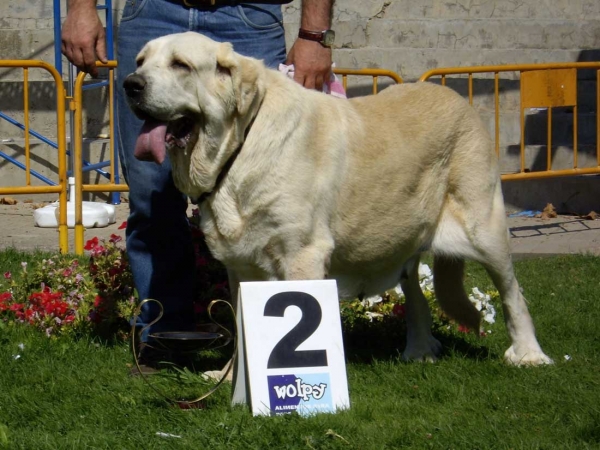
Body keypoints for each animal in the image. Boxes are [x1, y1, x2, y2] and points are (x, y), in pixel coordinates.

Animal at [125, 31, 552, 366]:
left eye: (180, 65)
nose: (130, 83)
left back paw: (529, 354)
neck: (240, 146)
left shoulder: (302, 253)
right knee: (417, 293)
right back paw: (418, 350)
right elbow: (245, 329)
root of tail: (456, 96)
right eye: (140, 61)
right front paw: (233, 379)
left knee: (513, 293)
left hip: (486, 230)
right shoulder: (241, 266)